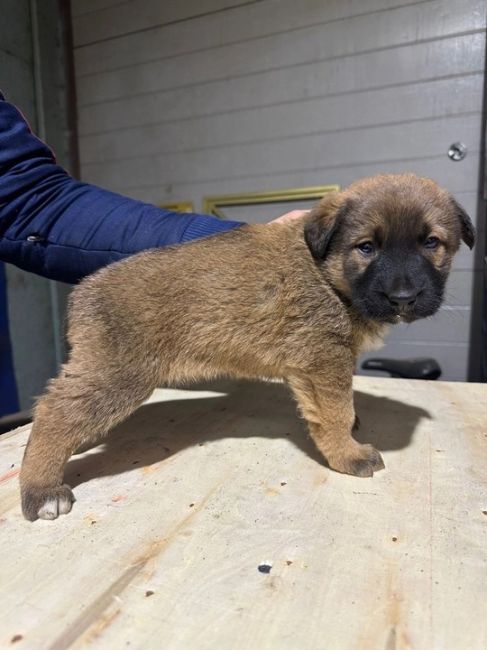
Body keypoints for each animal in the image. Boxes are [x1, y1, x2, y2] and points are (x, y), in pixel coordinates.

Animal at [20, 171, 476, 516]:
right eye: (366, 247)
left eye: (431, 243)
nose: (403, 298)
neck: (328, 276)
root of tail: (83, 292)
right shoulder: (323, 360)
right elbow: (335, 414)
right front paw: (348, 454)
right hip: (117, 376)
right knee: (53, 414)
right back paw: (41, 488)